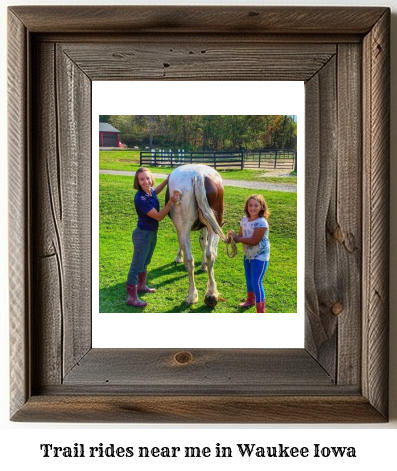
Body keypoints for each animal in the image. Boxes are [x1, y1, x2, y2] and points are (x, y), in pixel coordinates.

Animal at [165, 164, 235, 308]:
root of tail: (198, 175)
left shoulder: (182, 229)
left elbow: (191, 244)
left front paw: (178, 257)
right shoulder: (203, 227)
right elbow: (204, 244)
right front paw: (203, 265)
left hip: (186, 228)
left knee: (191, 259)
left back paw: (192, 295)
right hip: (213, 225)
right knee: (210, 254)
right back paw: (211, 294)